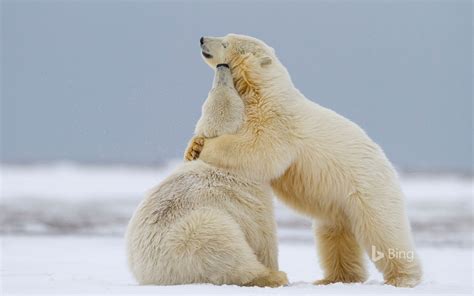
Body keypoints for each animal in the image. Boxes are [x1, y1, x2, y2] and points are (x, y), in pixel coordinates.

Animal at [124, 63, 286, 286]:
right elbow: (264, 235)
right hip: (198, 233)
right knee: (227, 250)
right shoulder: (252, 197)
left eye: (212, 89)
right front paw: (274, 268)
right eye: (232, 92)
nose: (222, 66)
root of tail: (152, 273)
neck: (221, 163)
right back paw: (272, 276)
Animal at [185, 34, 422, 286]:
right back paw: (334, 278)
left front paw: (206, 148)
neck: (264, 90)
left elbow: (260, 149)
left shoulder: (277, 121)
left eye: (226, 43)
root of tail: (388, 163)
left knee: (383, 229)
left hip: (369, 189)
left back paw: (402, 278)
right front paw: (192, 148)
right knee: (333, 233)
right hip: (338, 203)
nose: (202, 39)